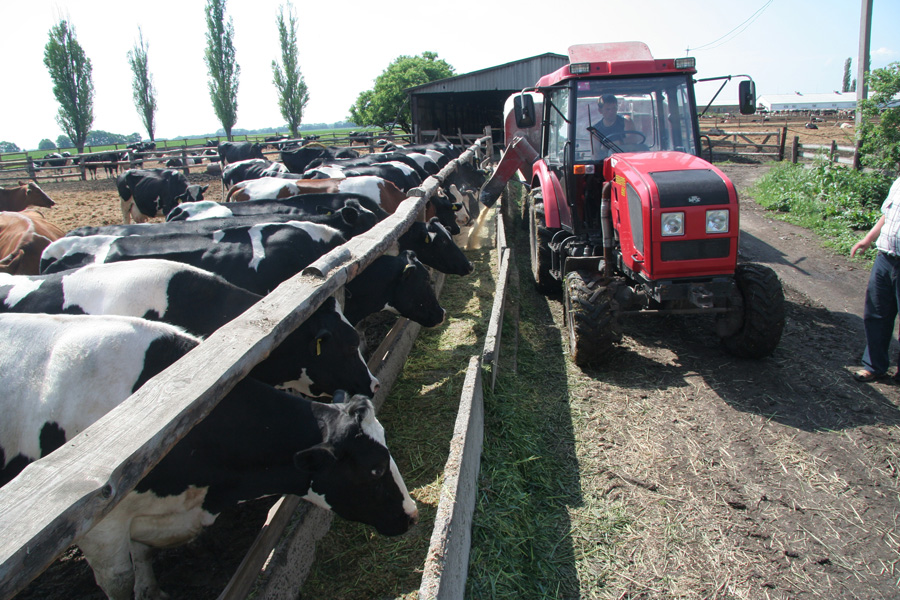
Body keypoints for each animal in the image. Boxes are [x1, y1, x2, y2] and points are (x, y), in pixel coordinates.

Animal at [0, 312, 414, 596]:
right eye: (376, 469)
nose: (411, 515)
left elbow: (142, 558)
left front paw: (153, 591)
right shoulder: (101, 528)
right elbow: (120, 581)